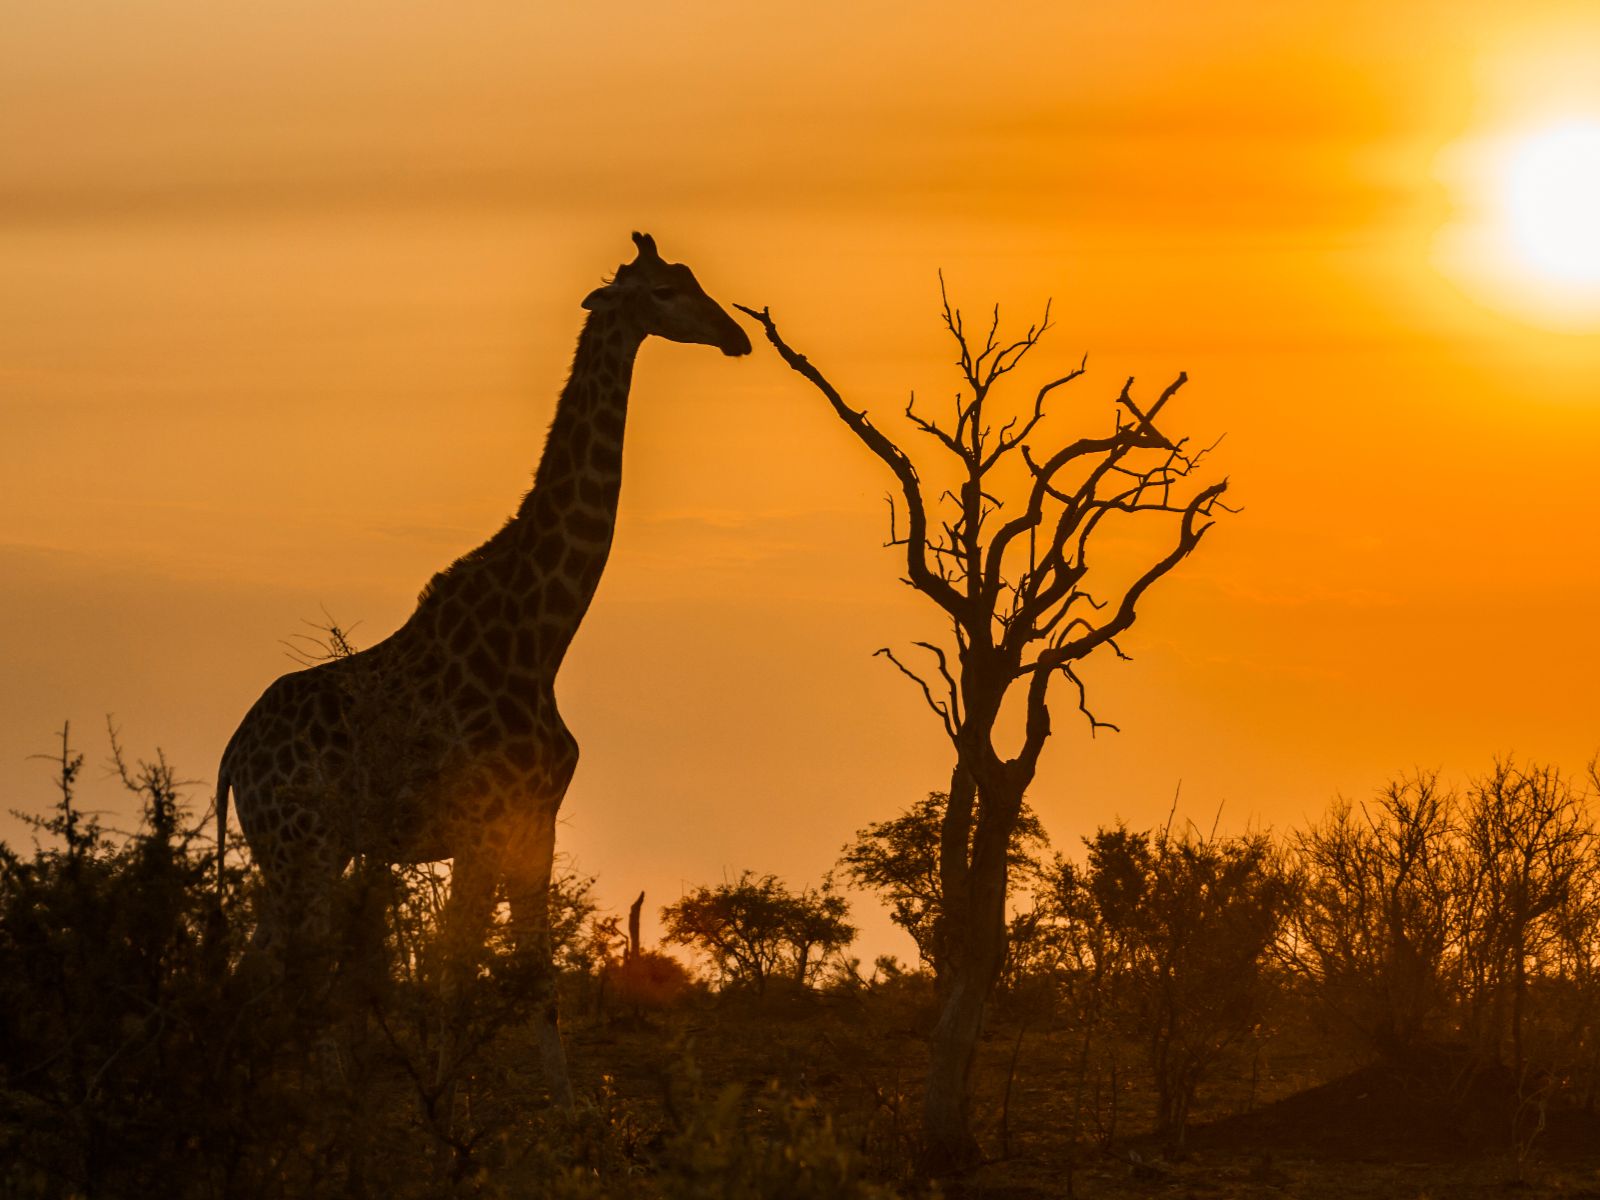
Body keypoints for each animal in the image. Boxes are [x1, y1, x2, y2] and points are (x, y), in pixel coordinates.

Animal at [214, 232, 751, 1107]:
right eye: (666, 293)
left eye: (692, 277)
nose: (736, 335)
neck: (540, 635)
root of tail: (233, 752)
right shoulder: (476, 822)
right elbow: (455, 971)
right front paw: (446, 1101)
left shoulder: (537, 817)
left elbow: (534, 973)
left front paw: (568, 1108)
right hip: (306, 848)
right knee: (298, 971)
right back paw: (327, 1096)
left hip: (292, 851)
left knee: (252, 969)